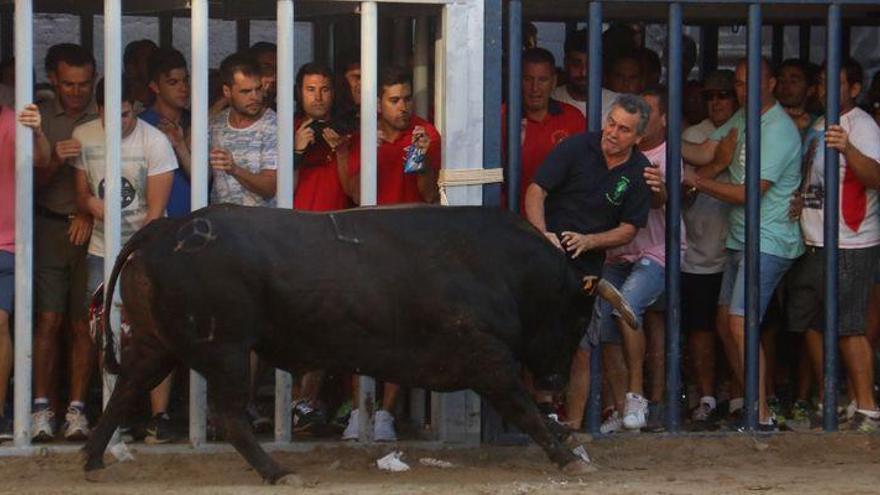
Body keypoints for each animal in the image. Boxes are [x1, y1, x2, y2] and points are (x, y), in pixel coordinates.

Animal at [82, 204, 636, 484]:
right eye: (578, 316)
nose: (556, 381)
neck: (507, 269)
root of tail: (165, 229)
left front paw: (564, 438)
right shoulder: (488, 359)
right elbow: (521, 407)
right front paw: (563, 452)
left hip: (156, 344)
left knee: (125, 390)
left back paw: (91, 459)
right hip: (227, 351)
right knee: (229, 415)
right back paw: (278, 472)